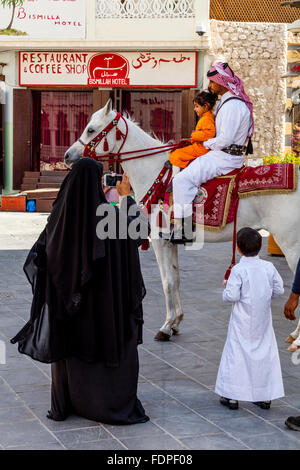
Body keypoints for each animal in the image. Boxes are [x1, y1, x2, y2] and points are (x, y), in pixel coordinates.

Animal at [63, 100, 300, 342]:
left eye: (91, 129)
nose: (67, 155)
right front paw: (176, 321)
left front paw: (166, 326)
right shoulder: (171, 242)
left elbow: (166, 282)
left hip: (291, 245)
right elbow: (176, 279)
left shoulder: (159, 240)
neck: (155, 172)